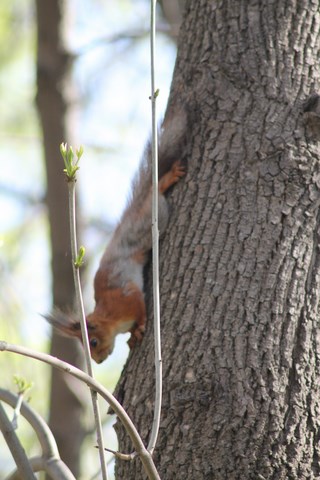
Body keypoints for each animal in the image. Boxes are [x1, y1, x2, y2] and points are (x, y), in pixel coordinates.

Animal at [44, 109, 188, 364]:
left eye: (93, 342)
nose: (98, 362)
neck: (109, 319)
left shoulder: (126, 301)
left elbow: (139, 306)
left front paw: (139, 327)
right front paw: (131, 337)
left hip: (152, 218)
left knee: (155, 191)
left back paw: (168, 178)